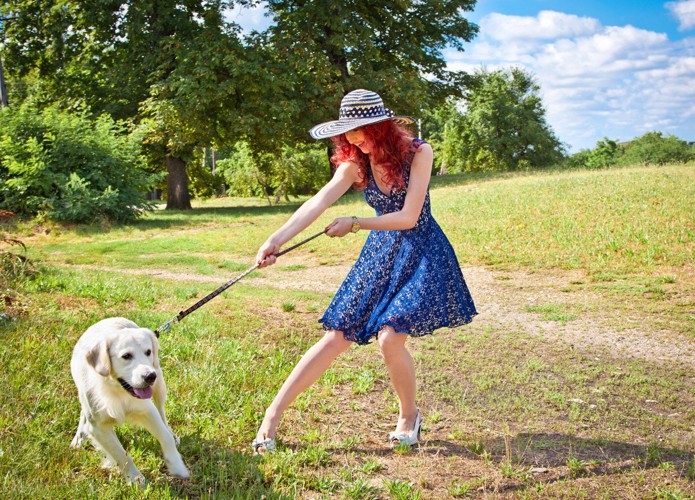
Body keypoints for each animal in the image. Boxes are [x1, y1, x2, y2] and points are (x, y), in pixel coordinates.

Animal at [70, 316, 190, 484]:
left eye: (148, 352)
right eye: (126, 356)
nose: (150, 376)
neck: (117, 390)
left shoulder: (147, 409)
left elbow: (165, 436)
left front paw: (177, 465)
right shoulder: (98, 427)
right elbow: (122, 455)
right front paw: (136, 479)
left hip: (159, 385)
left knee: (162, 413)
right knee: (83, 412)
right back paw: (79, 437)